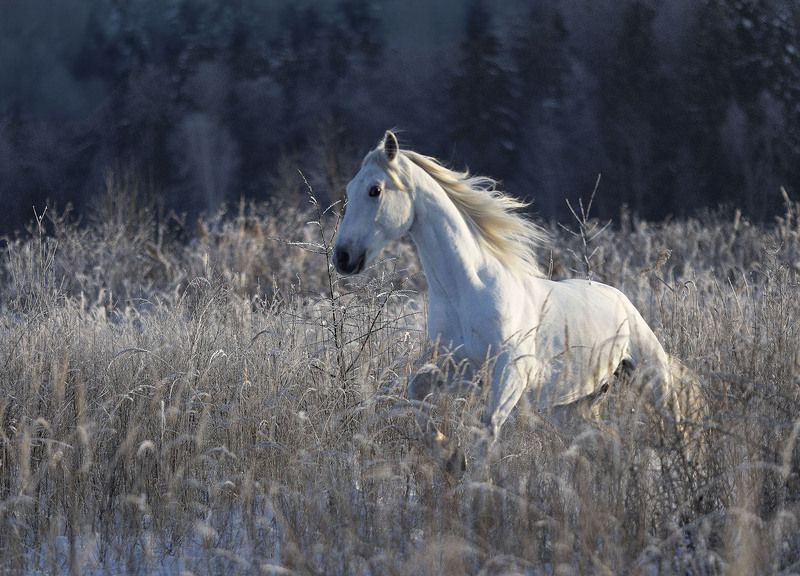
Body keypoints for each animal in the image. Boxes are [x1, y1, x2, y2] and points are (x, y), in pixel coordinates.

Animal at [333, 130, 685, 440]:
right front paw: (446, 452)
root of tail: (621, 299)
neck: (465, 292)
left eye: (375, 190)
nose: (342, 257)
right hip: (573, 405)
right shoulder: (454, 367)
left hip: (653, 381)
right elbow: (416, 394)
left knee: (676, 429)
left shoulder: (511, 375)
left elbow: (487, 430)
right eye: (349, 189)